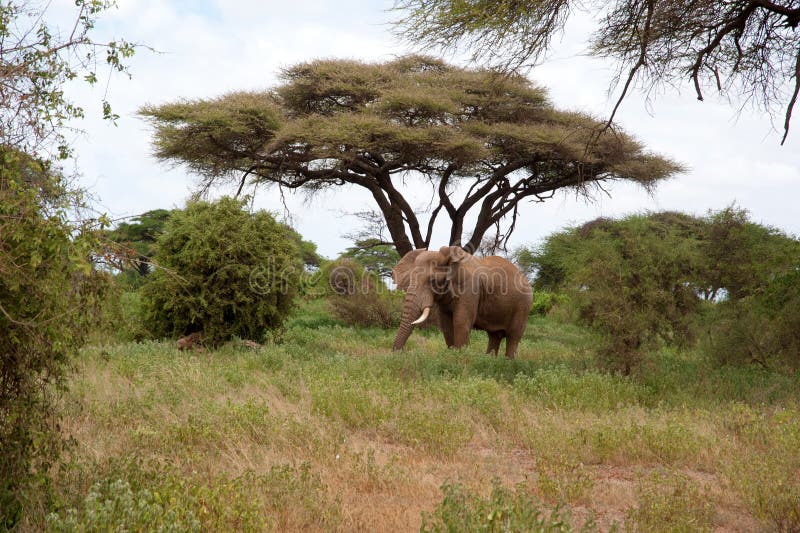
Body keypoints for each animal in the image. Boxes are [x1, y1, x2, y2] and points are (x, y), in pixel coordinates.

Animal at [392, 245, 536, 358]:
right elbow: (446, 324)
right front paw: (452, 356)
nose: (398, 355)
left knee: (513, 336)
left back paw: (507, 362)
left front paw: (460, 360)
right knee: (495, 335)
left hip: (524, 305)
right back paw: (490, 361)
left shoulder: (470, 289)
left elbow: (461, 321)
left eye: (432, 281)